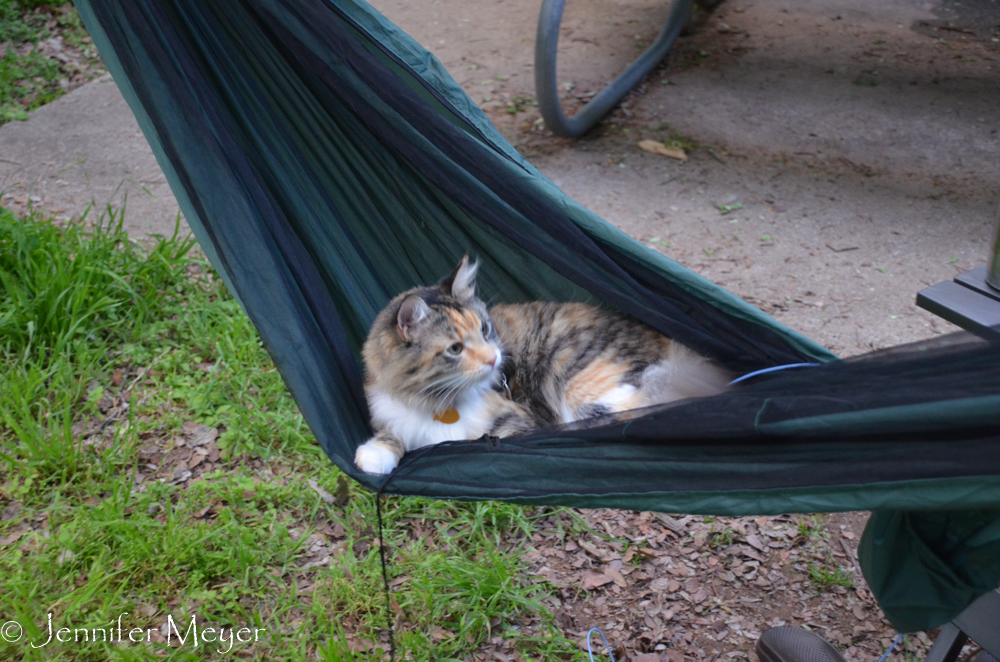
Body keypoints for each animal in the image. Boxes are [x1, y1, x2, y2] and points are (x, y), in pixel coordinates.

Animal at [354, 256, 728, 474]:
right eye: (456, 348)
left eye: (485, 330)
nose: (494, 358)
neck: (439, 404)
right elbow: (391, 437)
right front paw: (374, 456)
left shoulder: (516, 419)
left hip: (575, 376)